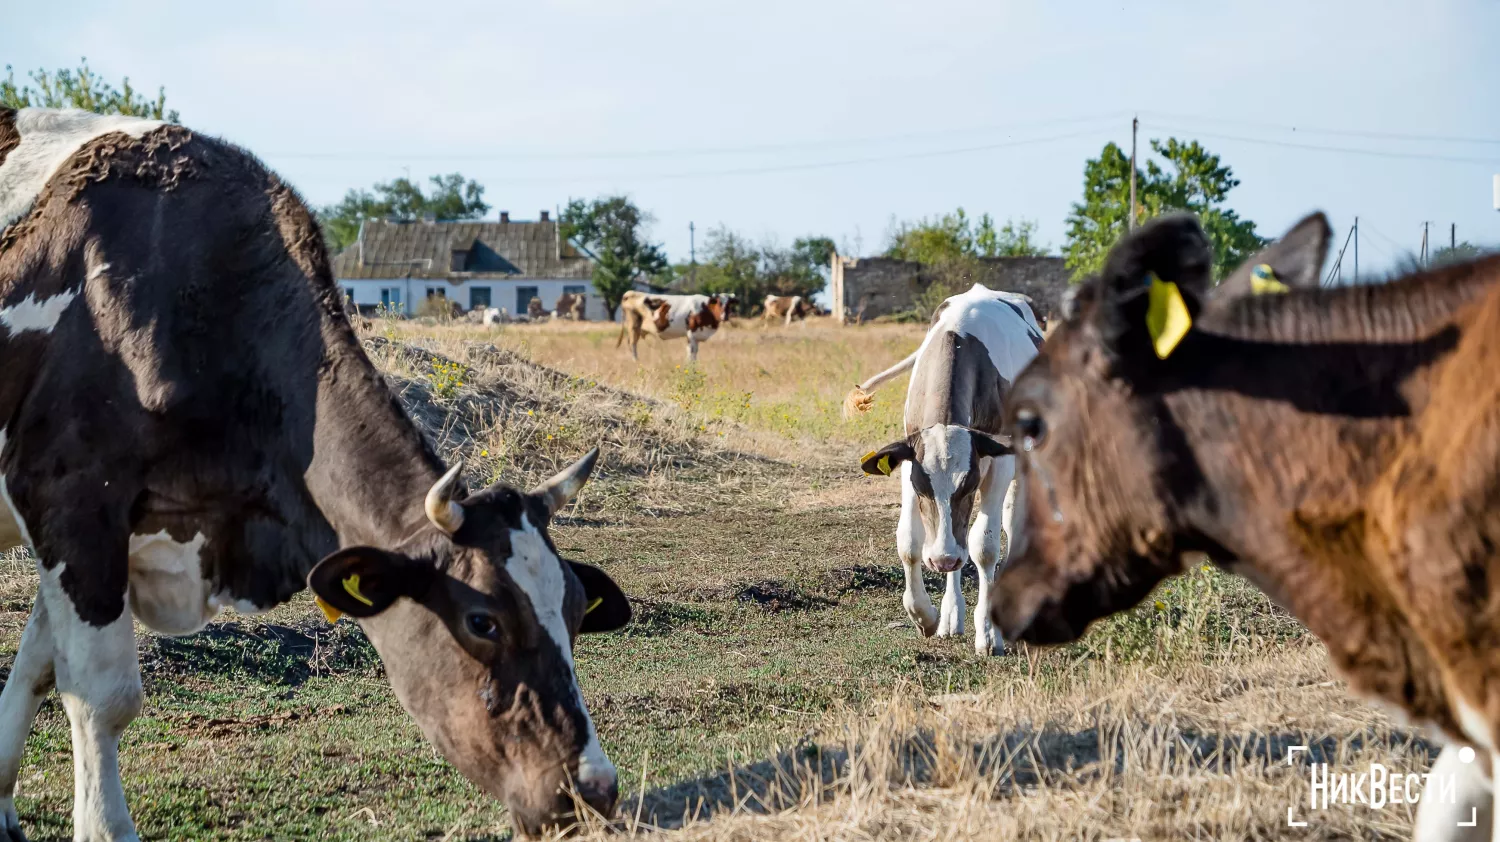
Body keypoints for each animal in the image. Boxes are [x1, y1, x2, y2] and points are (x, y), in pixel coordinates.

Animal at [0, 108, 633, 834]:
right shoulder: (70, 502)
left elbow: (38, 670)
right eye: (483, 621)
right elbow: (101, 697)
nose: (595, 790)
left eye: (577, 610)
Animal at [846, 285, 1044, 654]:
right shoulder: (909, 464)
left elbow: (985, 546)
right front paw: (923, 614)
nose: (941, 560)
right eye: (923, 489)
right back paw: (951, 614)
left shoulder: (999, 461)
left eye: (968, 486)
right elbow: (909, 540)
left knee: (1009, 523)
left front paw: (988, 633)